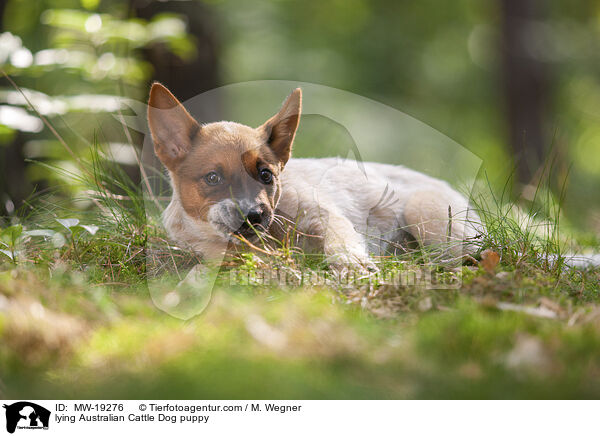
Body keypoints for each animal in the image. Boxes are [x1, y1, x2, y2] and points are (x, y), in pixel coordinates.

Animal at [149, 83, 482, 270]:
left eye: (266, 175)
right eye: (213, 178)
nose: (255, 215)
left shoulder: (322, 213)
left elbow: (340, 237)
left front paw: (351, 261)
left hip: (426, 213)